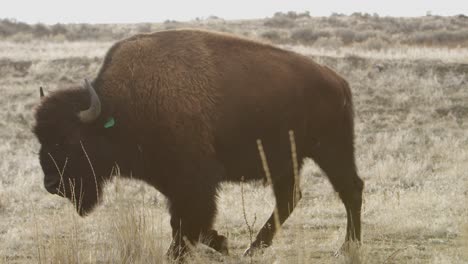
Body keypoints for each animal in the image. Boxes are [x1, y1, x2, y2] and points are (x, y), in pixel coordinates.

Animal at [33, 28, 362, 258]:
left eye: (69, 139)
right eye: (40, 137)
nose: (51, 184)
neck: (123, 106)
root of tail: (339, 82)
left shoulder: (195, 181)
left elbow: (187, 221)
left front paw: (184, 252)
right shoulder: (173, 182)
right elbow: (186, 222)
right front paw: (221, 242)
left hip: (331, 149)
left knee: (350, 188)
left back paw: (348, 247)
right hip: (287, 161)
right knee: (290, 197)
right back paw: (252, 249)